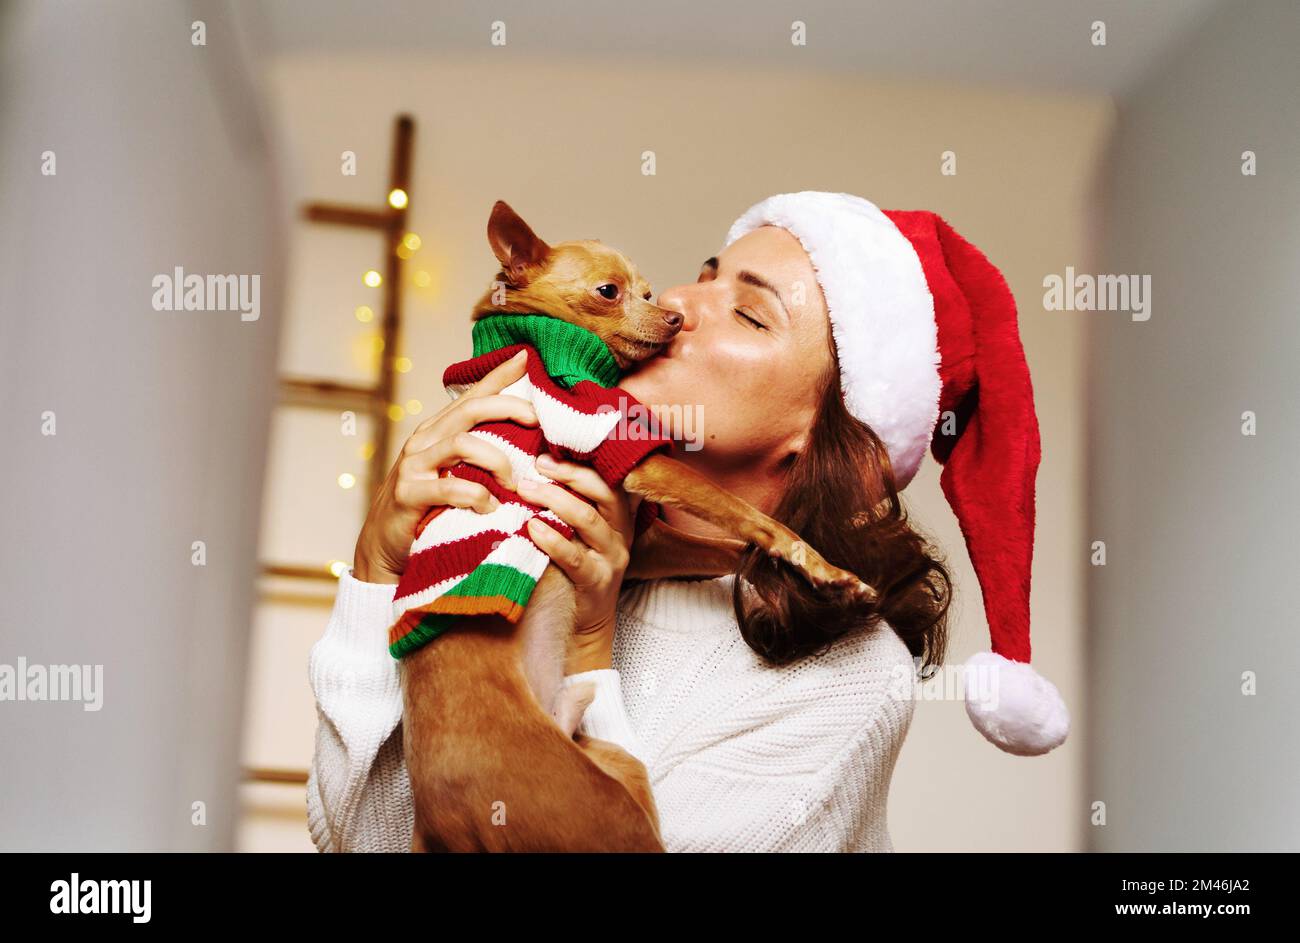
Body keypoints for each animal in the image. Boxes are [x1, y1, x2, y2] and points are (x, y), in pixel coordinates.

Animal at [403, 202, 873, 848]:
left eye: (650, 291)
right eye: (610, 292)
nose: (675, 316)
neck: (533, 335)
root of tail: (439, 818)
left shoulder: (644, 544)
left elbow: (730, 546)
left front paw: (817, 581)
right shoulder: (627, 450)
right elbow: (746, 516)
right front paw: (820, 565)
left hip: (611, 757)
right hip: (604, 812)